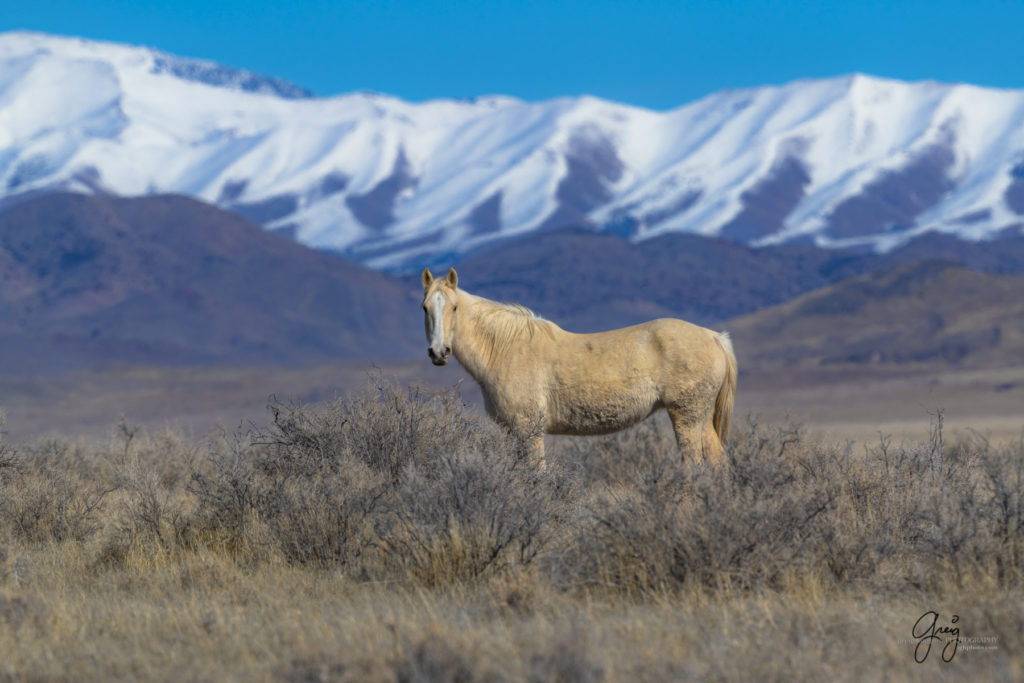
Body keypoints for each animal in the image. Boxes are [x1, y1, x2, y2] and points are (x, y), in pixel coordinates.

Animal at [421, 266, 737, 464]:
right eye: (424, 307)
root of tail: (714, 337)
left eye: (454, 307)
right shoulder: (513, 432)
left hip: (686, 417)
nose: (438, 353)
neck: (505, 349)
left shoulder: (529, 430)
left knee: (693, 466)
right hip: (700, 418)